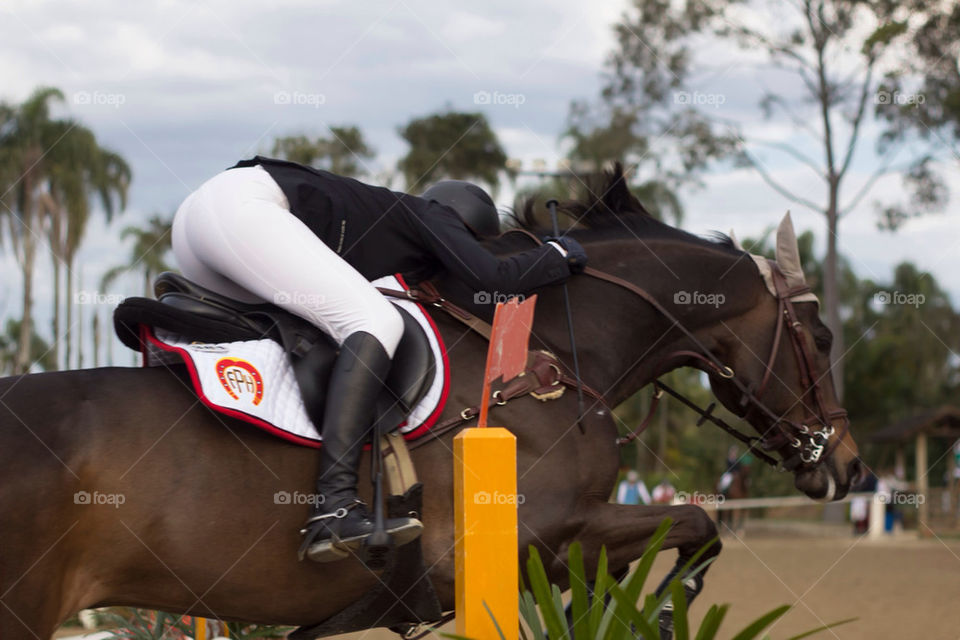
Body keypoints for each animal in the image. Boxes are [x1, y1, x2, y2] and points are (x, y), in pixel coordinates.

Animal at [0, 165, 862, 639]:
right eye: (820, 337)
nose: (848, 469)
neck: (553, 356)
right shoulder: (540, 539)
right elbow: (696, 527)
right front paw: (664, 611)